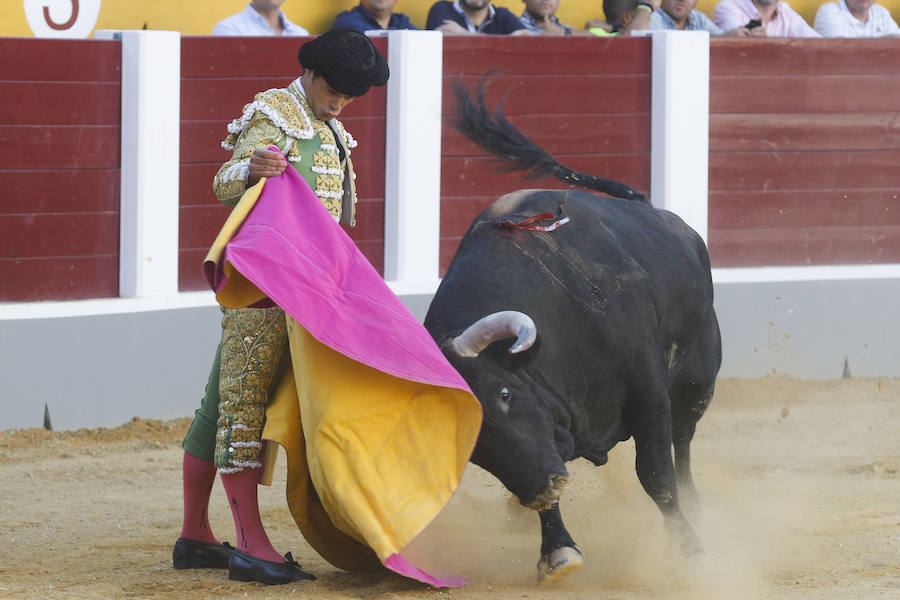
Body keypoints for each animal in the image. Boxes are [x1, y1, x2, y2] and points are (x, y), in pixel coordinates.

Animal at [424, 86, 724, 584]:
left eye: (504, 393)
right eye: (471, 444)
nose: (544, 485)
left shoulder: (648, 392)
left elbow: (657, 477)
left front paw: (692, 552)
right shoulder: (544, 444)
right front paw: (558, 552)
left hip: (698, 379)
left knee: (683, 443)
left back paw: (698, 508)